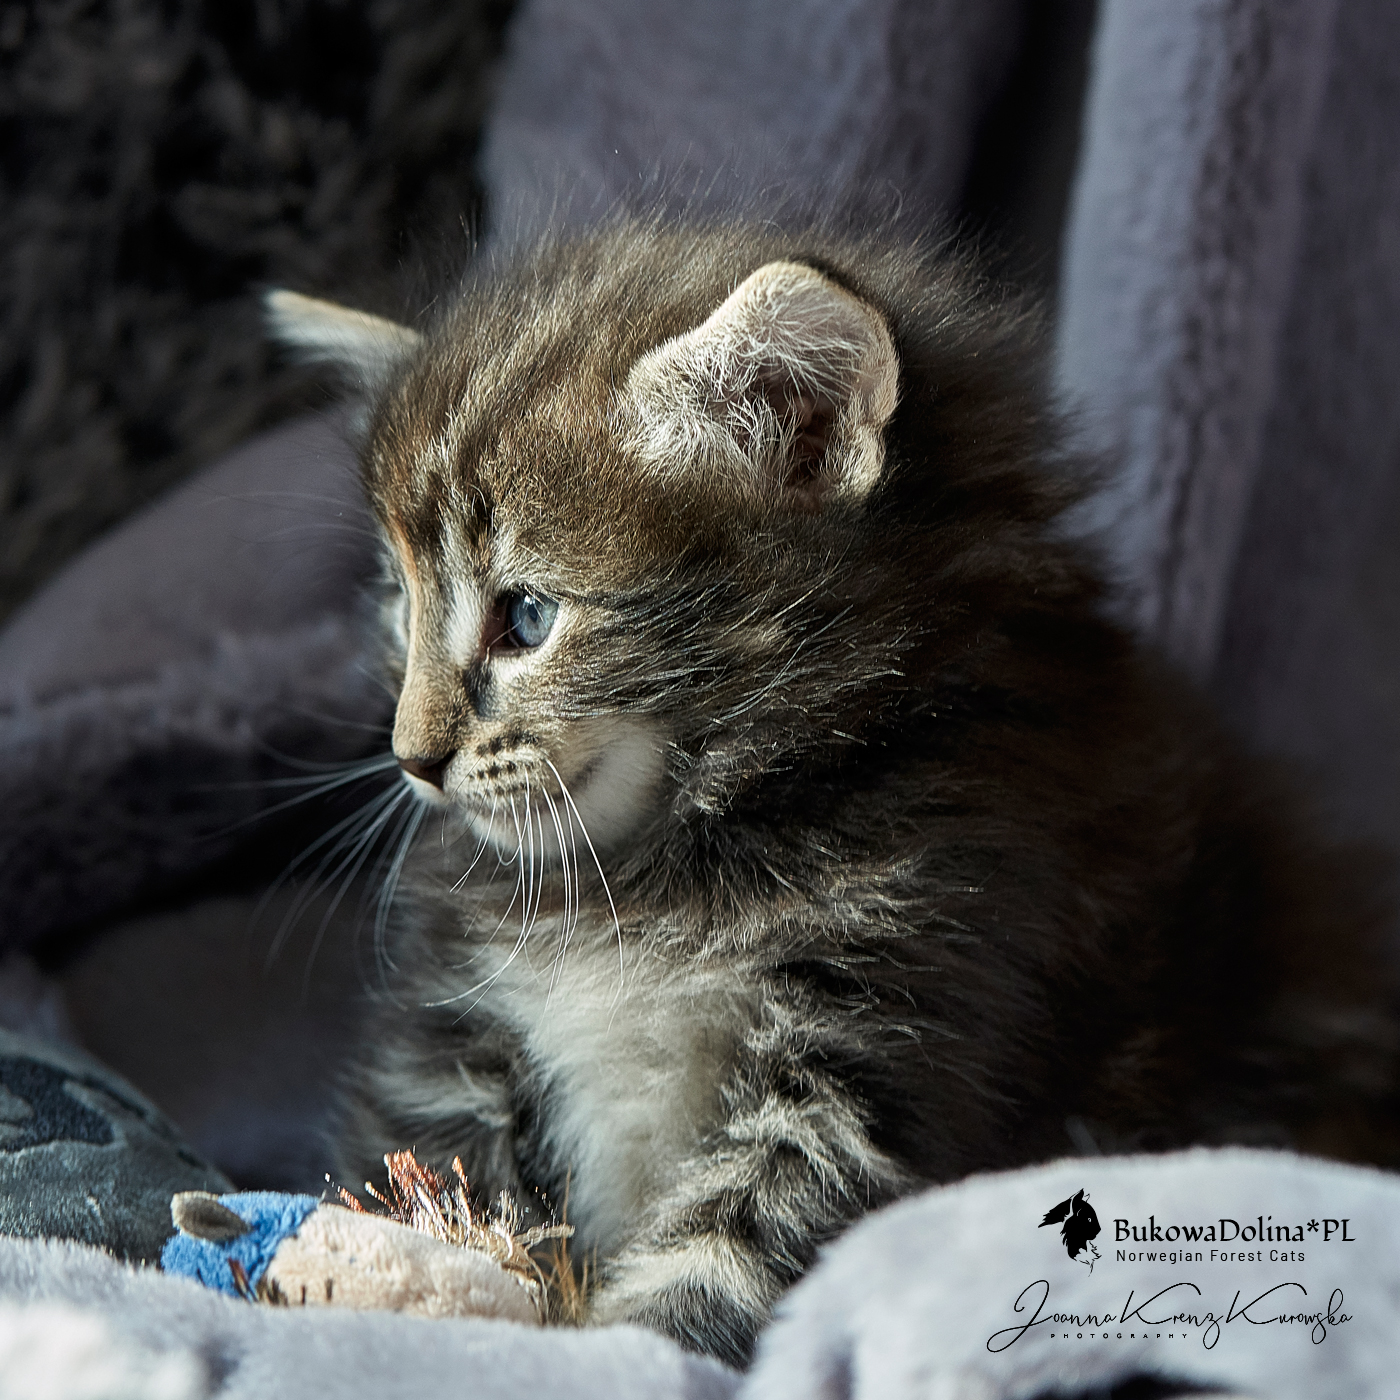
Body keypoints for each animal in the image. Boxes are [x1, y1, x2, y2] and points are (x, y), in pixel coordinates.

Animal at [266, 218, 1398, 1365]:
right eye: (399, 609)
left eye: (526, 618)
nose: (412, 758)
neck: (662, 864)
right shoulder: (452, 1024)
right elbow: (435, 1165)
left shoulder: (904, 1022)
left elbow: (737, 1251)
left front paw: (618, 1351)